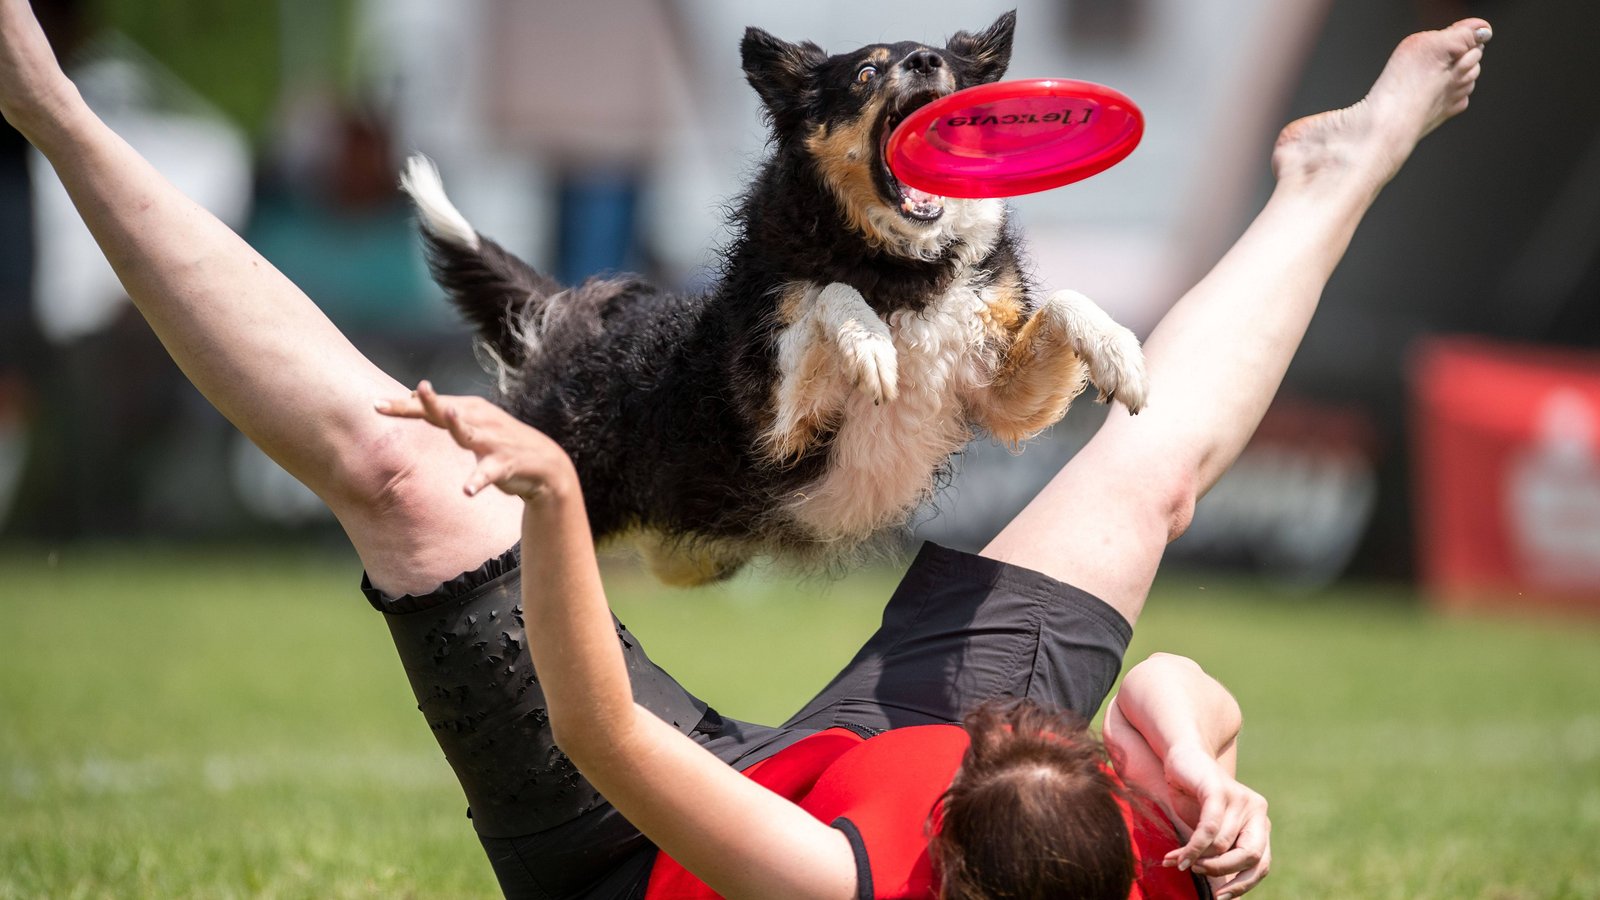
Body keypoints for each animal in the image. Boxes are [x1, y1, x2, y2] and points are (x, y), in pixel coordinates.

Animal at [406, 14, 1145, 586]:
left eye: (952, 75)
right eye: (866, 74)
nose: (926, 61)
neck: (897, 265)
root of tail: (569, 321)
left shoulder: (999, 396)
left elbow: (1067, 303)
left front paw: (1120, 354)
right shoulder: (779, 429)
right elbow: (826, 297)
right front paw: (870, 346)